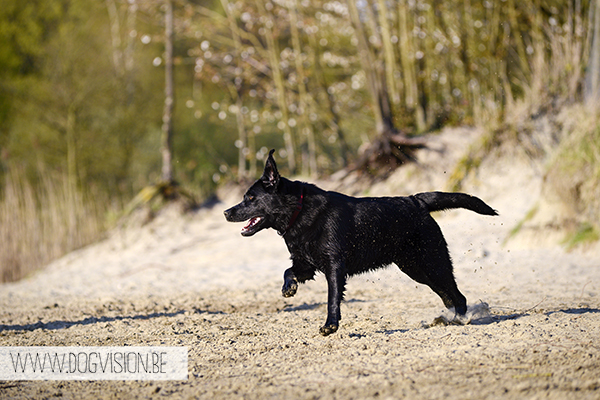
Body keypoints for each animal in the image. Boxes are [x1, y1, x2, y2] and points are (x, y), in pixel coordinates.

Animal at [225, 149, 496, 334]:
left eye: (250, 198)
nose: (226, 212)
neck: (299, 212)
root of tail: (416, 200)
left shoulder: (335, 267)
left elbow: (332, 299)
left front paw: (330, 325)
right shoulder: (306, 265)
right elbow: (287, 271)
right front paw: (289, 288)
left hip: (432, 262)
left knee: (458, 296)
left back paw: (459, 320)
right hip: (416, 268)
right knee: (448, 296)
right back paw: (447, 319)